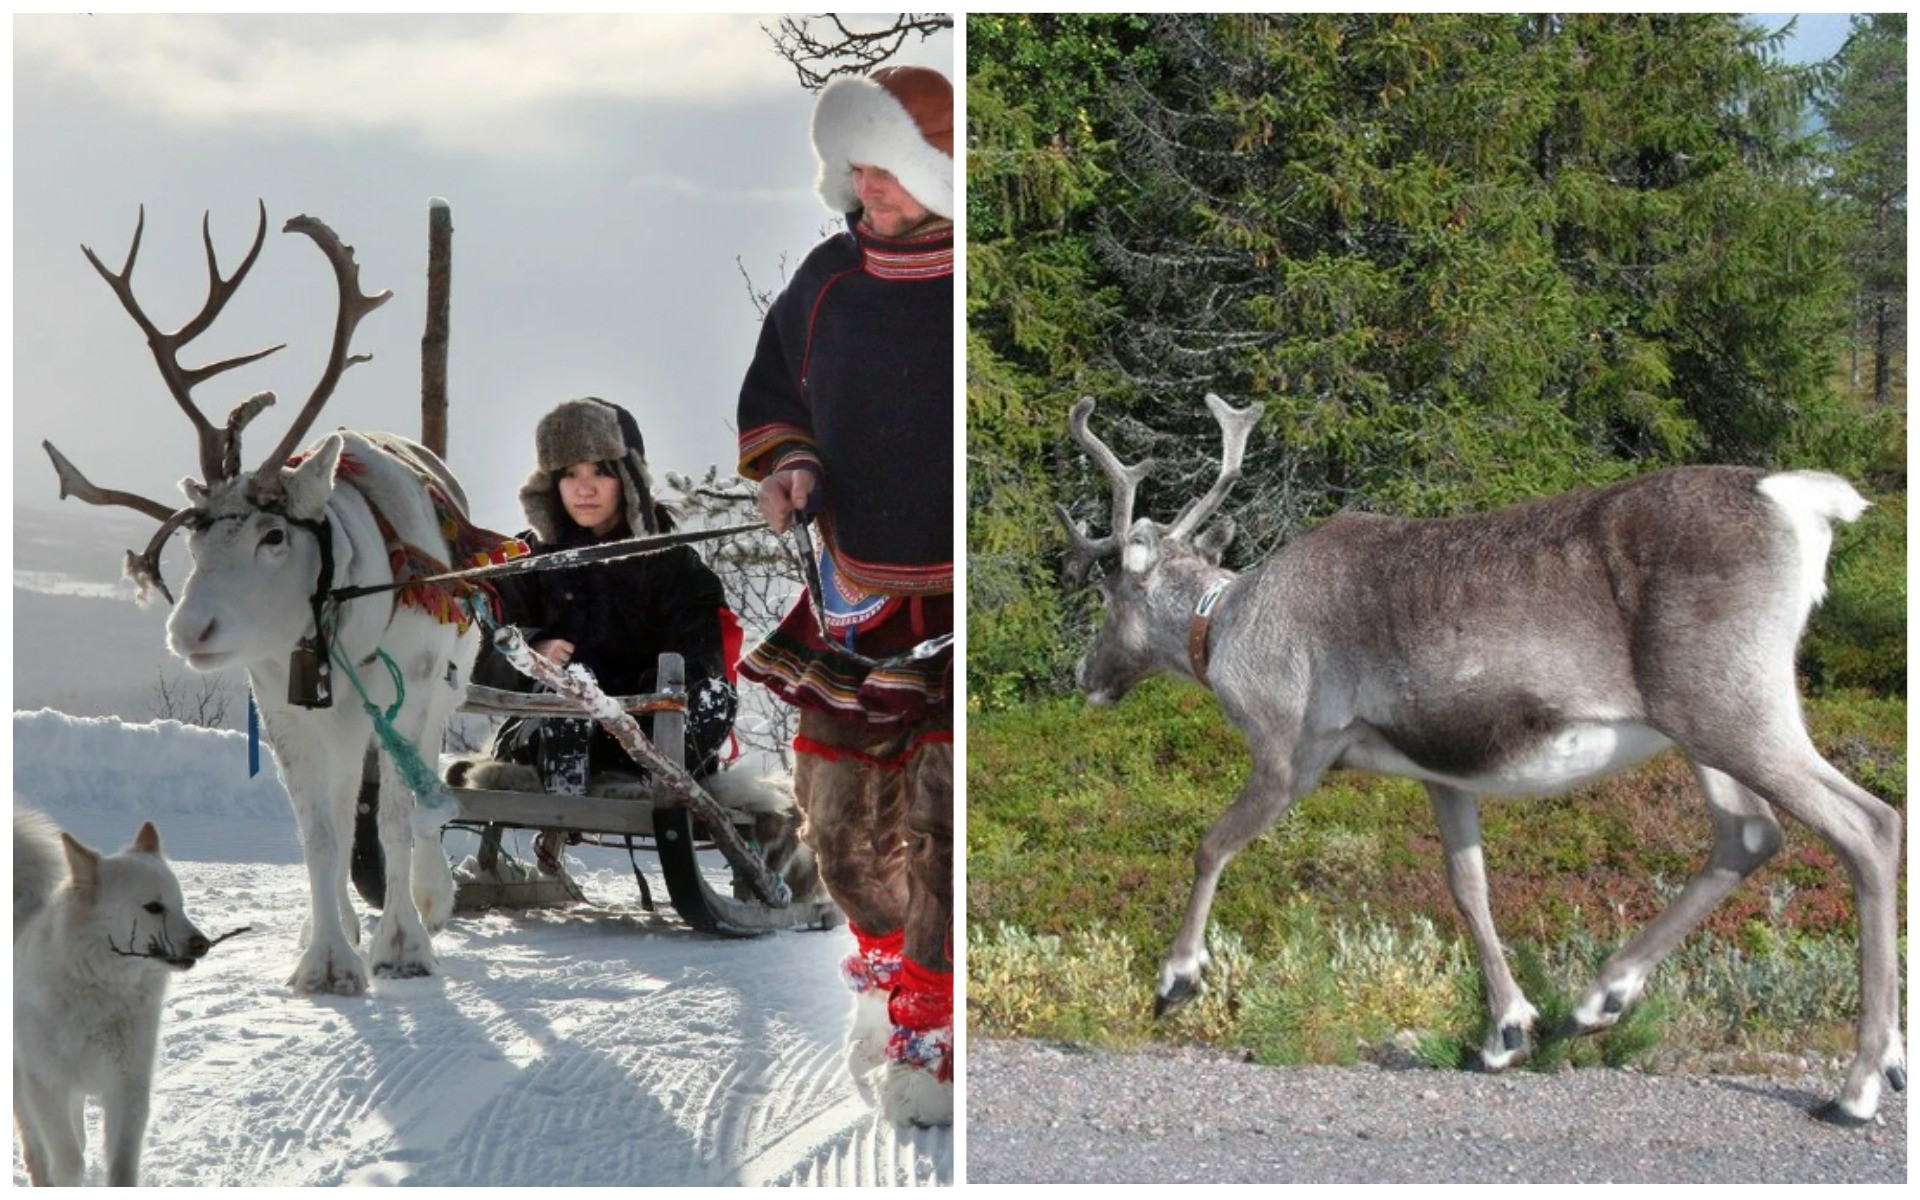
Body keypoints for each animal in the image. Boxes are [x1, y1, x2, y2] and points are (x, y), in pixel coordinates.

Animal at [11, 810, 208, 1182]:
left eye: (181, 905)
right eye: (153, 907)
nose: (201, 944)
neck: (102, 988)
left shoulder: (127, 1087)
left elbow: (121, 1166)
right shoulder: (46, 1085)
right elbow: (69, 1160)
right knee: (35, 1149)